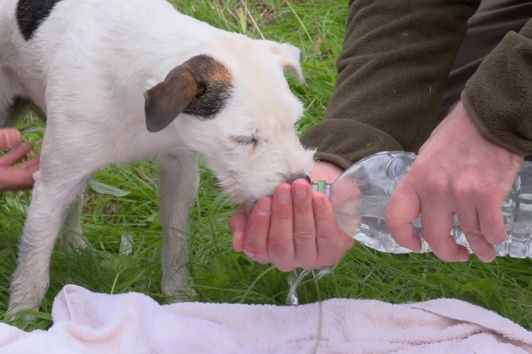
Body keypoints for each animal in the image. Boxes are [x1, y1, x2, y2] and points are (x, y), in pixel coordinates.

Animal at [1, 0, 316, 316]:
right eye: (244, 139)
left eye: (293, 124)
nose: (298, 181)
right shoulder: (53, 184)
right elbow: (34, 261)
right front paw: (22, 316)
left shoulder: (181, 171)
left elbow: (176, 239)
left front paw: (180, 296)